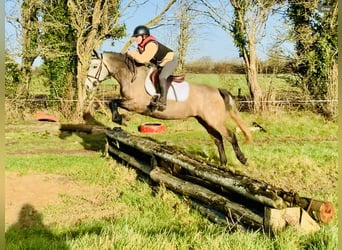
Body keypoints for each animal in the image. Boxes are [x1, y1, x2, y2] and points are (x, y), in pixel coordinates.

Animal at [85, 51, 251, 167]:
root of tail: (217, 90)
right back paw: (222, 164)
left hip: (213, 120)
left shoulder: (137, 104)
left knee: (230, 135)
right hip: (205, 120)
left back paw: (242, 159)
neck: (132, 76)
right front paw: (120, 119)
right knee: (218, 139)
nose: (87, 86)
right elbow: (113, 103)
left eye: (94, 66)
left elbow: (113, 102)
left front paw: (120, 120)